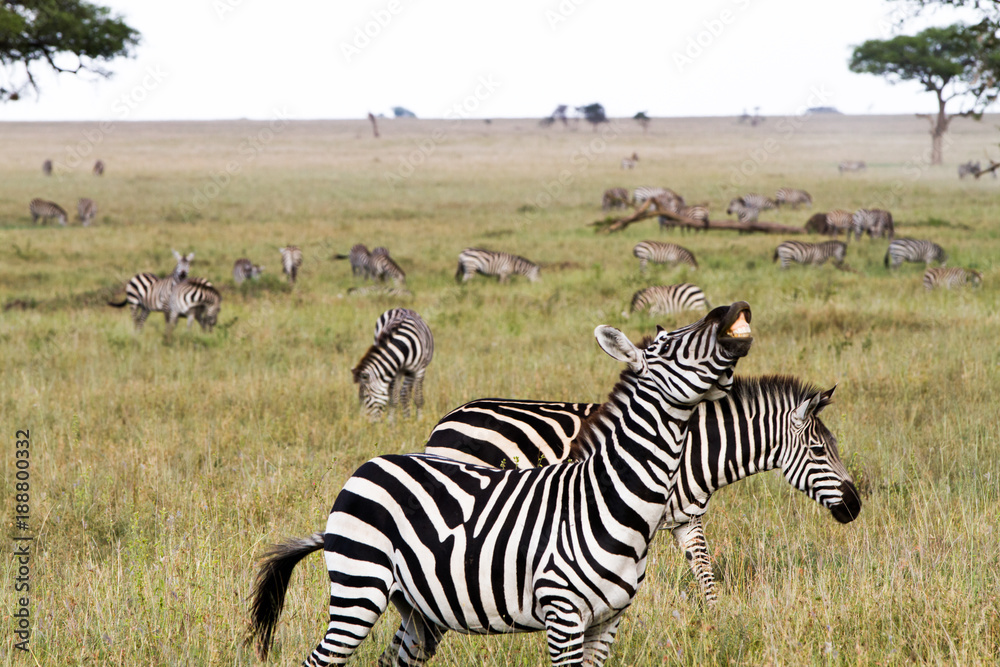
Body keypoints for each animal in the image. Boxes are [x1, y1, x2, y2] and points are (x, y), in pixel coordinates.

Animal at [247, 302, 754, 667]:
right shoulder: (563, 615)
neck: (609, 500)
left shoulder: (608, 621)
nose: (733, 308)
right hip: (359, 587)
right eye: (667, 346)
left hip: (417, 607)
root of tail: (368, 467)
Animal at [424, 375, 861, 605]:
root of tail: (448, 419)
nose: (855, 505)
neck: (694, 452)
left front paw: (718, 624)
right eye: (819, 450)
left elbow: (704, 572)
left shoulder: (688, 518)